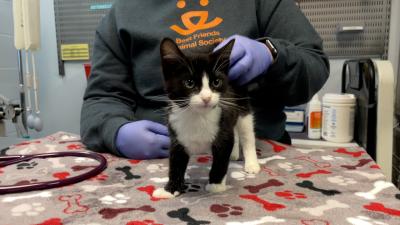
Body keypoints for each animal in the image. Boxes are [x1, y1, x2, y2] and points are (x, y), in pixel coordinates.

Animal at [152, 38, 260, 199]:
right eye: (189, 83)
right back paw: (234, 154)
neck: (198, 116)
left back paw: (252, 163)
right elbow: (176, 162)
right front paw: (170, 189)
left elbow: (221, 159)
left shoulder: (223, 127)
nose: (207, 97)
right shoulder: (177, 134)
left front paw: (216, 185)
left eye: (216, 82)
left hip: (242, 103)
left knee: (247, 133)